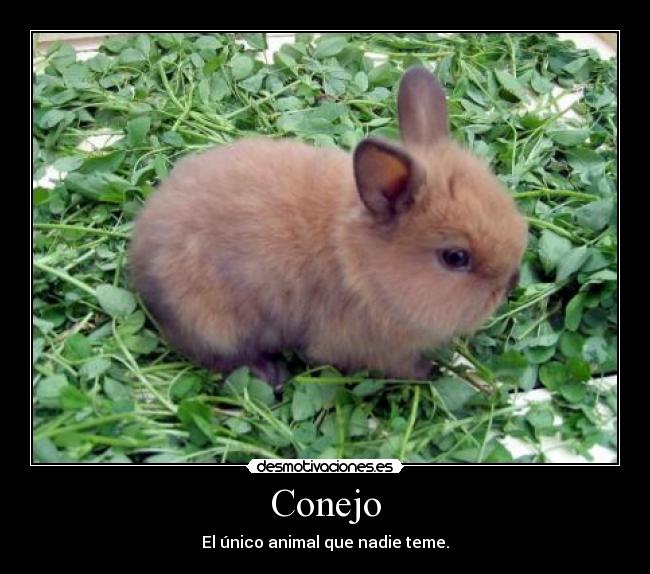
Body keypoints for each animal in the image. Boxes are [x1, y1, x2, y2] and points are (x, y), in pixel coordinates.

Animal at [129, 66, 528, 390]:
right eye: (455, 257)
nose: (511, 283)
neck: (365, 265)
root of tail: (140, 263)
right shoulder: (372, 347)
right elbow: (404, 365)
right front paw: (436, 372)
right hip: (214, 324)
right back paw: (270, 374)